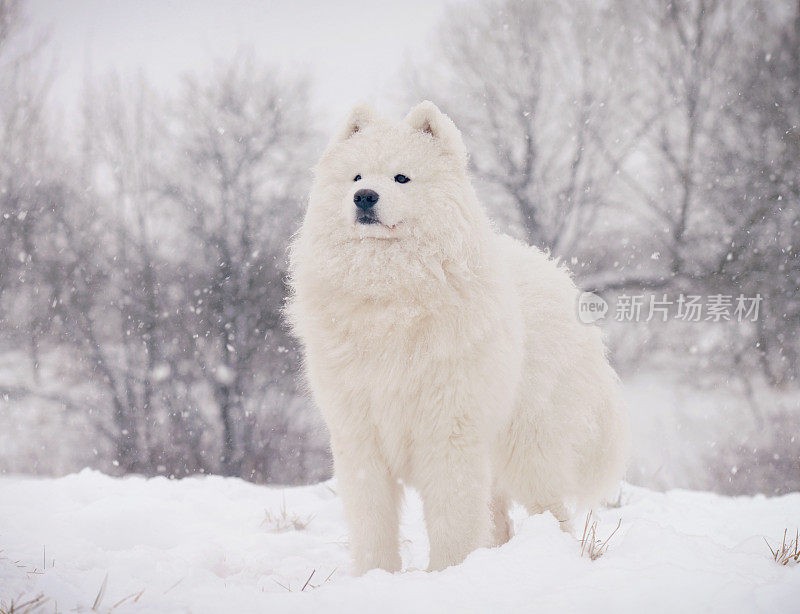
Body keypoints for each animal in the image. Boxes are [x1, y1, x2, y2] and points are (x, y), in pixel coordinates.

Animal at [288, 102, 632, 576]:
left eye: (401, 178)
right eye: (356, 177)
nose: (365, 198)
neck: (390, 295)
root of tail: (559, 276)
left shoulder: (448, 430)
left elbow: (451, 519)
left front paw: (447, 574)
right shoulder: (360, 435)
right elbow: (372, 521)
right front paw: (376, 576)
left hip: (528, 446)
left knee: (550, 510)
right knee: (499, 517)